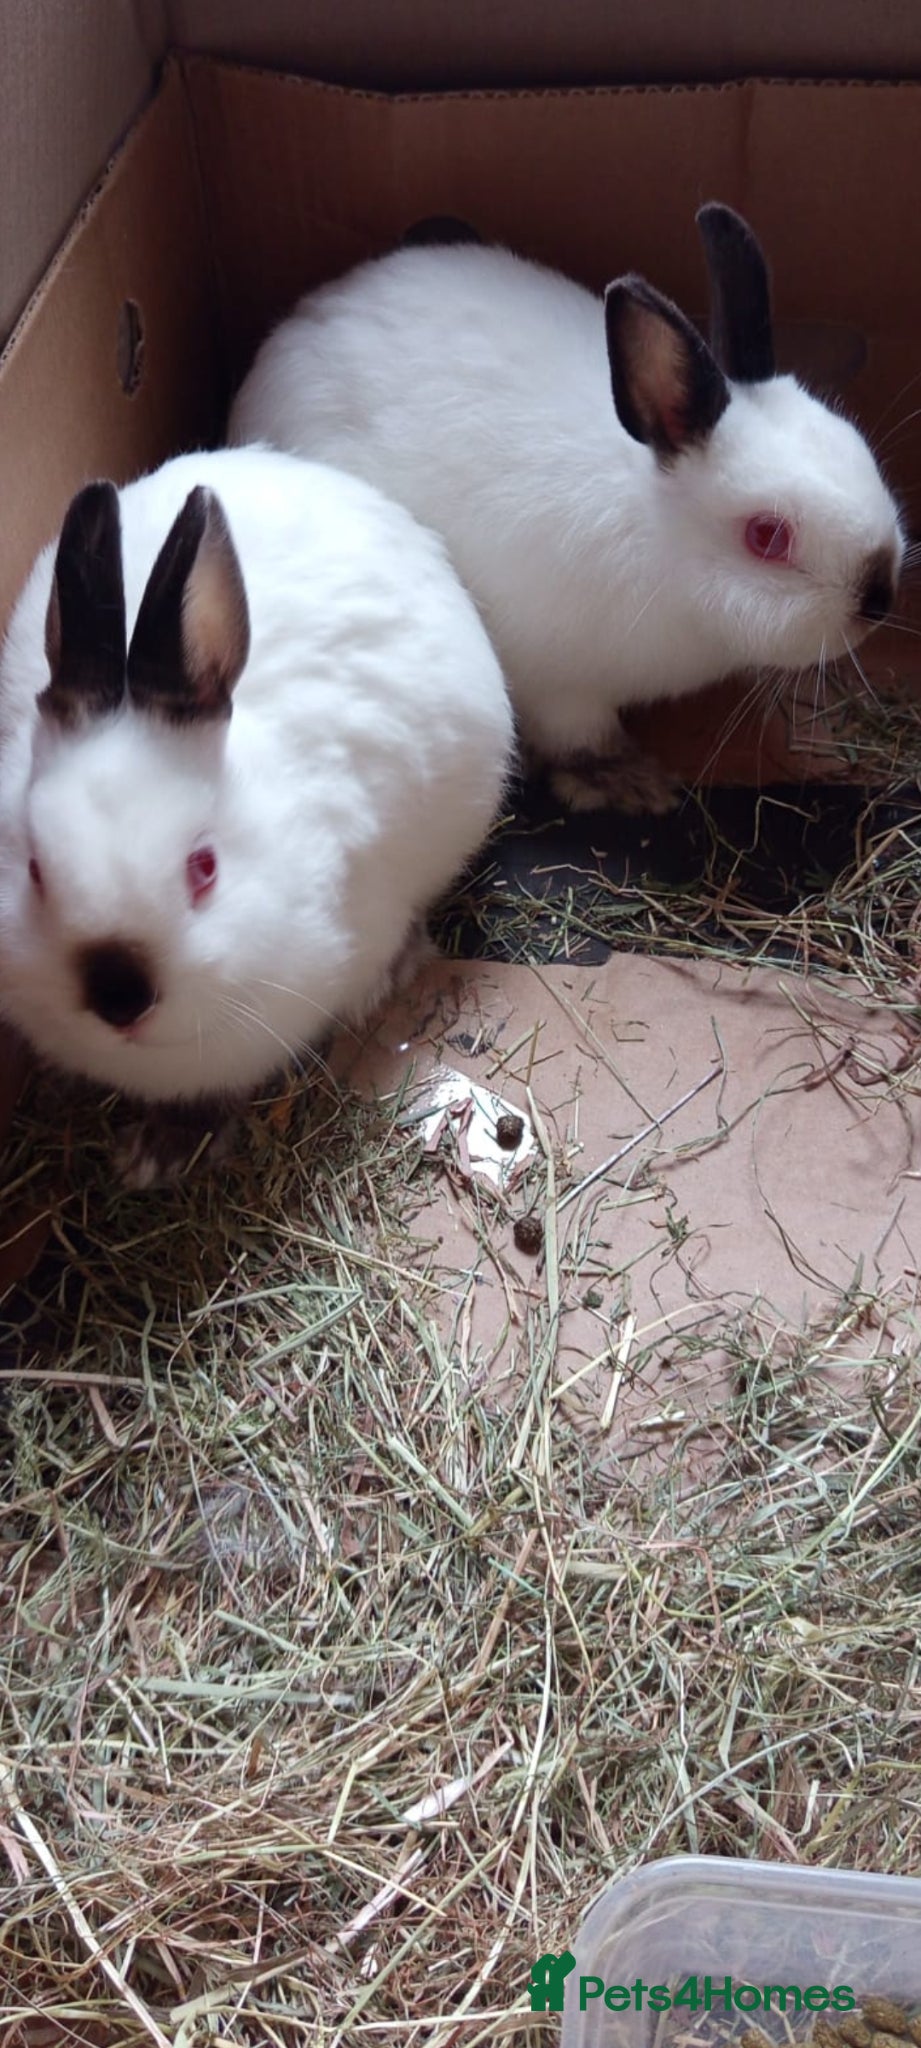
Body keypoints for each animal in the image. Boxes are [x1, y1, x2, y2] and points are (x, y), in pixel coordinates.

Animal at [229, 202, 905, 815]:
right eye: (767, 536)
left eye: (855, 445)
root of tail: (294, 327)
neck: (662, 541)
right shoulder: (557, 683)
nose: (878, 597)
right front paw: (631, 785)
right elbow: (581, 737)